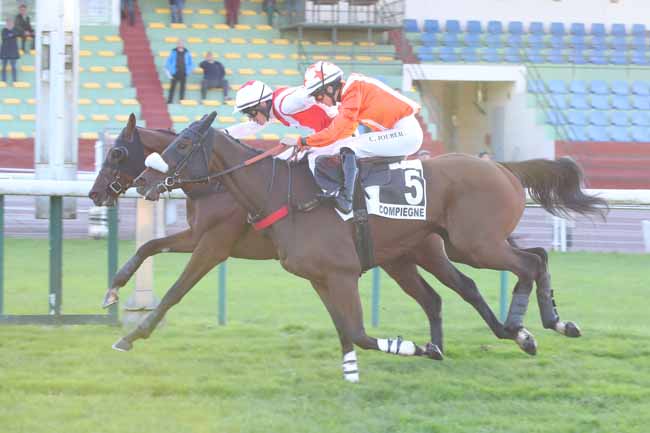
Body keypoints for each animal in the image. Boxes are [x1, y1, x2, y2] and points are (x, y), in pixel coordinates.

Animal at [137, 112, 608, 368]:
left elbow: (361, 332)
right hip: (452, 247)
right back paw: (540, 325)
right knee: (530, 258)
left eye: (183, 145)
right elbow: (349, 331)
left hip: (475, 244)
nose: (142, 180)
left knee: (528, 264)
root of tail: (501, 166)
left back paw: (526, 328)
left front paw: (414, 347)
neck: (283, 193)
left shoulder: (340, 272)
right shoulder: (319, 277)